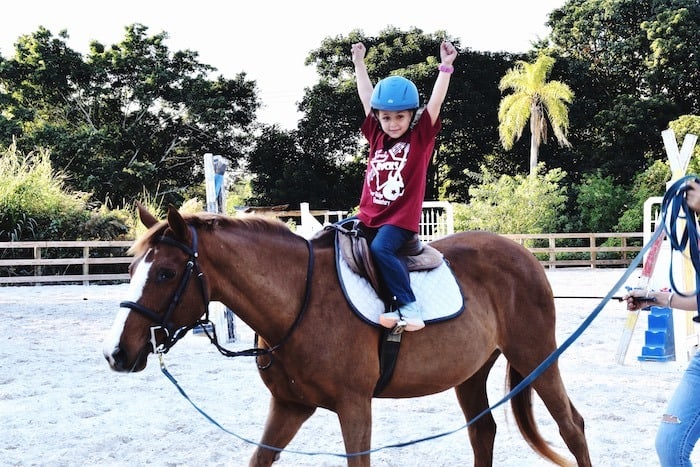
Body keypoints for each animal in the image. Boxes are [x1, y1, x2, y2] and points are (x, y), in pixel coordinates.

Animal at [102, 206, 592, 467]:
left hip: (536, 356)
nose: (115, 353)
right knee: (483, 431)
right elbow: (259, 459)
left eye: (165, 273)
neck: (298, 301)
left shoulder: (354, 407)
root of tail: (523, 254)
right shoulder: (290, 407)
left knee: (571, 425)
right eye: (133, 268)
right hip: (471, 372)